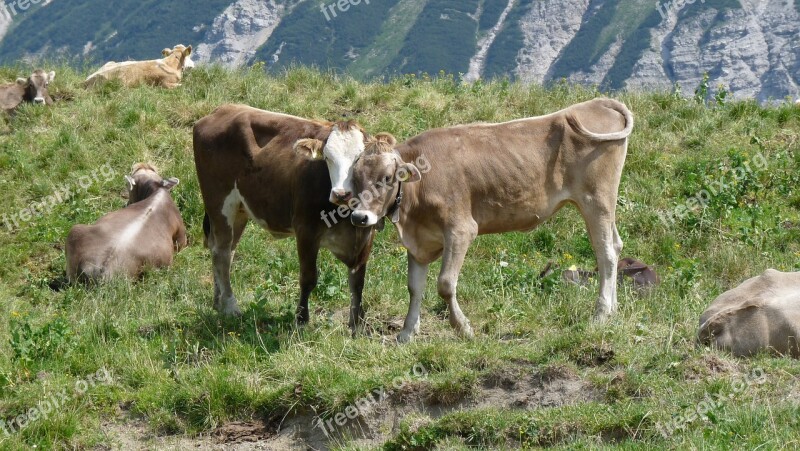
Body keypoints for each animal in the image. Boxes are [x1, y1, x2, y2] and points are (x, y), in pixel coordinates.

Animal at [348, 97, 632, 340]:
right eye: (355, 177)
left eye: (387, 177)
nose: (360, 217)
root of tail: (597, 102)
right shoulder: (420, 241)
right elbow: (414, 288)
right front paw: (407, 333)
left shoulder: (461, 230)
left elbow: (445, 284)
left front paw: (463, 328)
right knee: (616, 246)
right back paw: (614, 310)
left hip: (597, 199)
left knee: (606, 253)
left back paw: (601, 313)